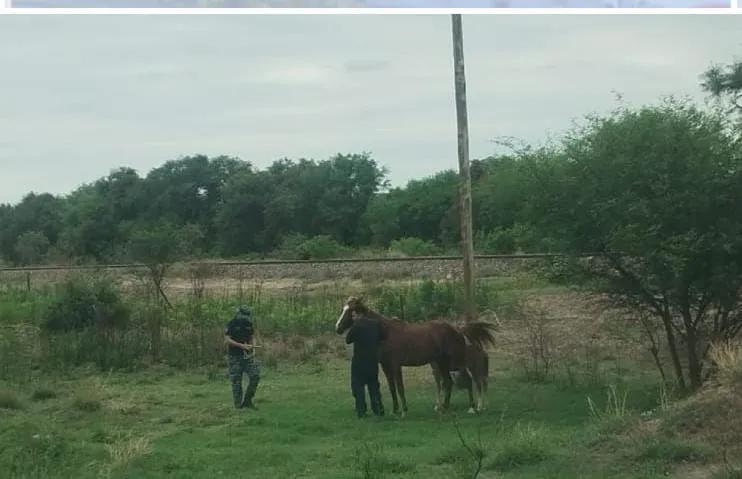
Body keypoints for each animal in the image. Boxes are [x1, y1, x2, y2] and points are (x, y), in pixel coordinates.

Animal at [335, 296, 497, 416]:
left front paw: (404, 411)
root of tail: (457, 330)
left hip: (451, 363)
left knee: (462, 382)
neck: (384, 332)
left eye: (351, 311)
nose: (338, 328)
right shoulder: (386, 366)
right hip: (442, 364)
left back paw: (463, 407)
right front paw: (395, 410)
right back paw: (446, 407)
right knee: (450, 382)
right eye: (343, 309)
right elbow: (392, 388)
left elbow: (400, 388)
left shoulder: (395, 365)